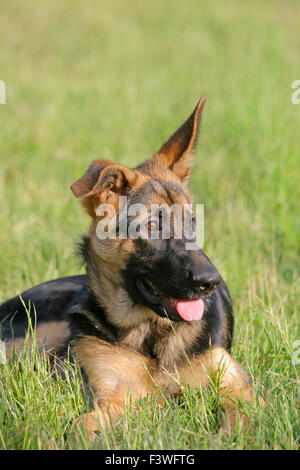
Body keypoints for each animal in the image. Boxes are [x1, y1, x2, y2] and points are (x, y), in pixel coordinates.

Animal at [0, 97, 258, 438]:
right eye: (150, 226)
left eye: (192, 222)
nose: (211, 282)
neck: (150, 334)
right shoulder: (114, 397)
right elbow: (82, 425)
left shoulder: (236, 385)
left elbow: (239, 418)